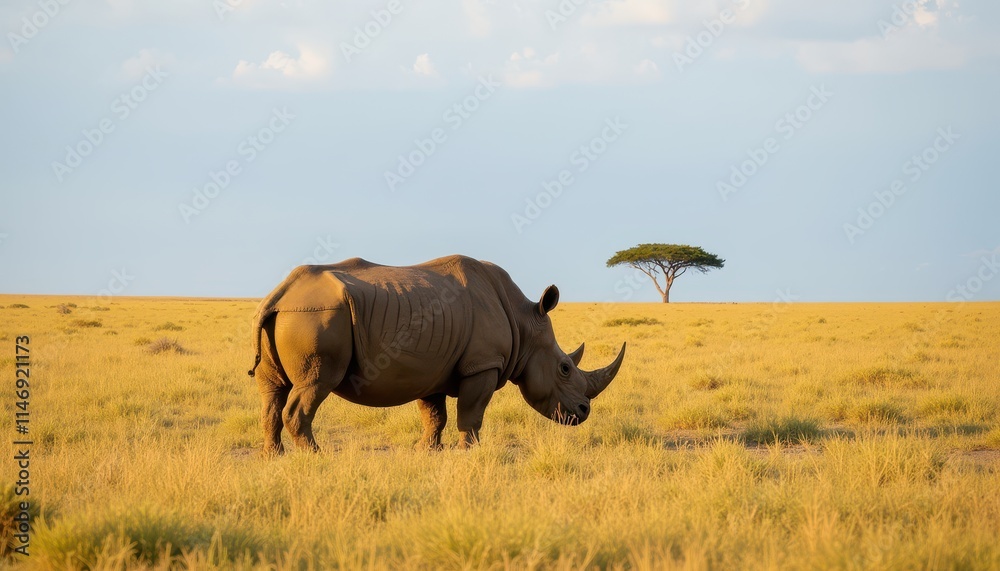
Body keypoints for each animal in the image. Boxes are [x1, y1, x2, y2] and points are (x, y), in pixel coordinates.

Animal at [248, 255, 626, 454]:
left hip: (291, 315)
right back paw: (316, 457)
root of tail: (281, 293)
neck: (525, 323)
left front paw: (427, 451)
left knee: (273, 390)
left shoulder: (429, 367)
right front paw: (469, 452)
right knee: (314, 384)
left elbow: (434, 415)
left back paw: (274, 457)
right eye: (564, 368)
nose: (583, 412)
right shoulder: (482, 365)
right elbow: (471, 413)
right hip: (317, 316)